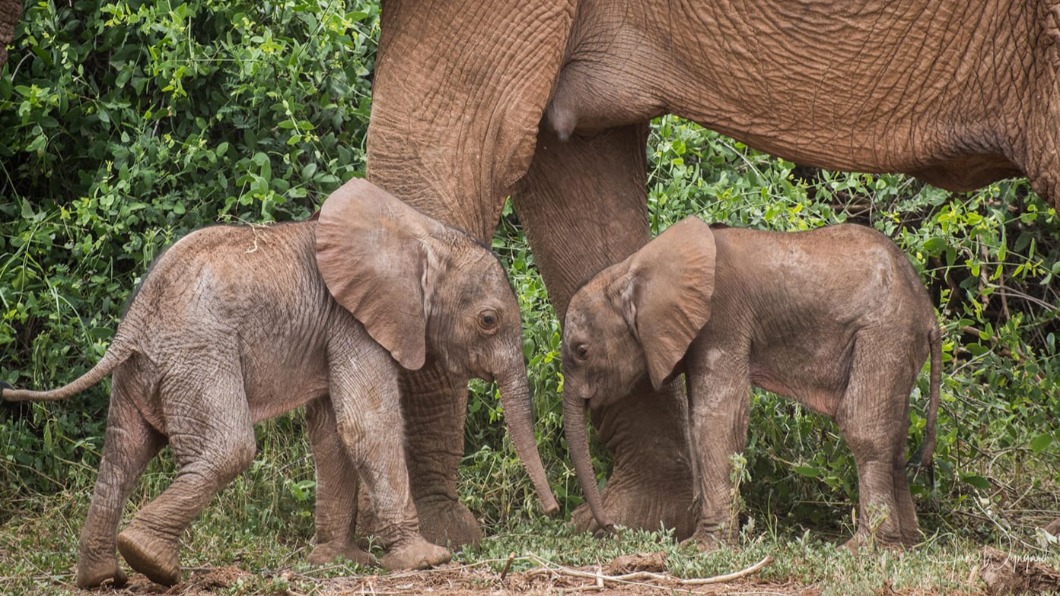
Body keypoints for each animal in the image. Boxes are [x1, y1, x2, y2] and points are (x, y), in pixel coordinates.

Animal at [1, 178, 559, 589]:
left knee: (123, 452)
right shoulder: (353, 323)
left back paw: (104, 576)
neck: (419, 234)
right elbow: (366, 425)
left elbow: (333, 434)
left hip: (147, 368)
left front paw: (340, 560)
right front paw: (425, 560)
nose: (553, 511)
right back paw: (151, 562)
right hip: (198, 355)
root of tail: (132, 324)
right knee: (227, 448)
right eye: (488, 321)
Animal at [561, 217, 942, 550]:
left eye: (581, 351)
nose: (609, 528)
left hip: (884, 333)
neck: (632, 269)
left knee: (864, 428)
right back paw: (906, 544)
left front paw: (703, 548)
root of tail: (929, 312)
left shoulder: (721, 319)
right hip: (899, 342)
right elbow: (697, 419)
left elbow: (716, 420)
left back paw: (863, 549)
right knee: (895, 437)